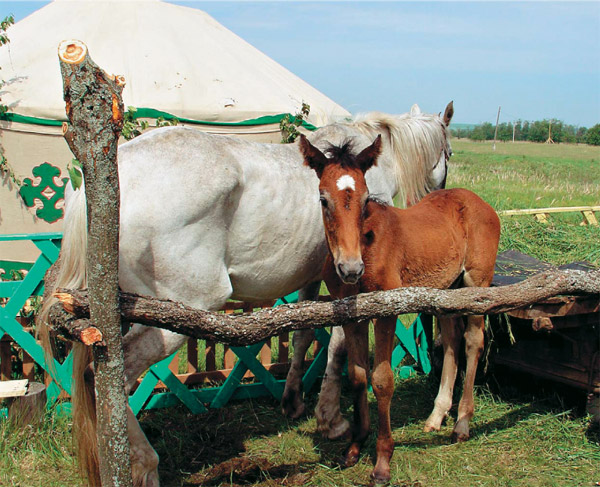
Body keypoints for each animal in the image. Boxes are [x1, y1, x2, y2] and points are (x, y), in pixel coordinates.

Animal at [38, 102, 450, 484]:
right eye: (448, 152)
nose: (439, 195)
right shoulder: (347, 285)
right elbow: (336, 349)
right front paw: (331, 419)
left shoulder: (316, 279)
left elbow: (302, 337)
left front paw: (294, 401)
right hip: (171, 318)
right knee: (107, 377)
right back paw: (145, 466)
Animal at [300, 133, 502, 484]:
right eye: (324, 200)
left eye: (366, 198)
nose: (350, 269)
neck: (366, 247)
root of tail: (478, 201)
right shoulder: (352, 315)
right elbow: (357, 376)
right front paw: (354, 447)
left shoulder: (386, 312)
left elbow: (382, 380)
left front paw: (382, 462)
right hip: (445, 290)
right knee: (451, 341)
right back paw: (437, 415)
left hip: (477, 283)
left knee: (473, 342)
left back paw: (462, 422)